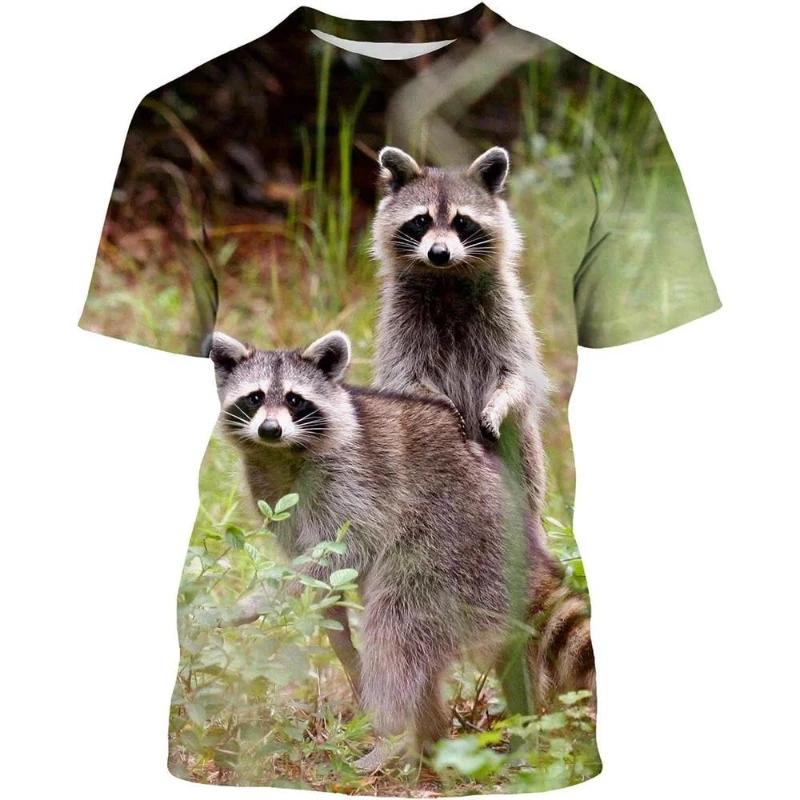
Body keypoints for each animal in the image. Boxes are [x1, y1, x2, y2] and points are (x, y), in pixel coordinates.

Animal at [209, 330, 595, 765]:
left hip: (449, 548)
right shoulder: (272, 492)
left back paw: (393, 734)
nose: (270, 429)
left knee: (394, 628)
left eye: (295, 399)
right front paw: (333, 627)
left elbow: (347, 547)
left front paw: (266, 597)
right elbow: (319, 570)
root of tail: (523, 543)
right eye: (255, 397)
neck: (282, 454)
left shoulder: (355, 479)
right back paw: (430, 735)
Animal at [371, 145, 550, 548]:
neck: (446, 279)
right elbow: (405, 377)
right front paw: (443, 405)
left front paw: (500, 403)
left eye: (462, 222)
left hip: (524, 459)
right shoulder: (399, 326)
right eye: (420, 221)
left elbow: (517, 374)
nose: (439, 252)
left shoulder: (507, 316)